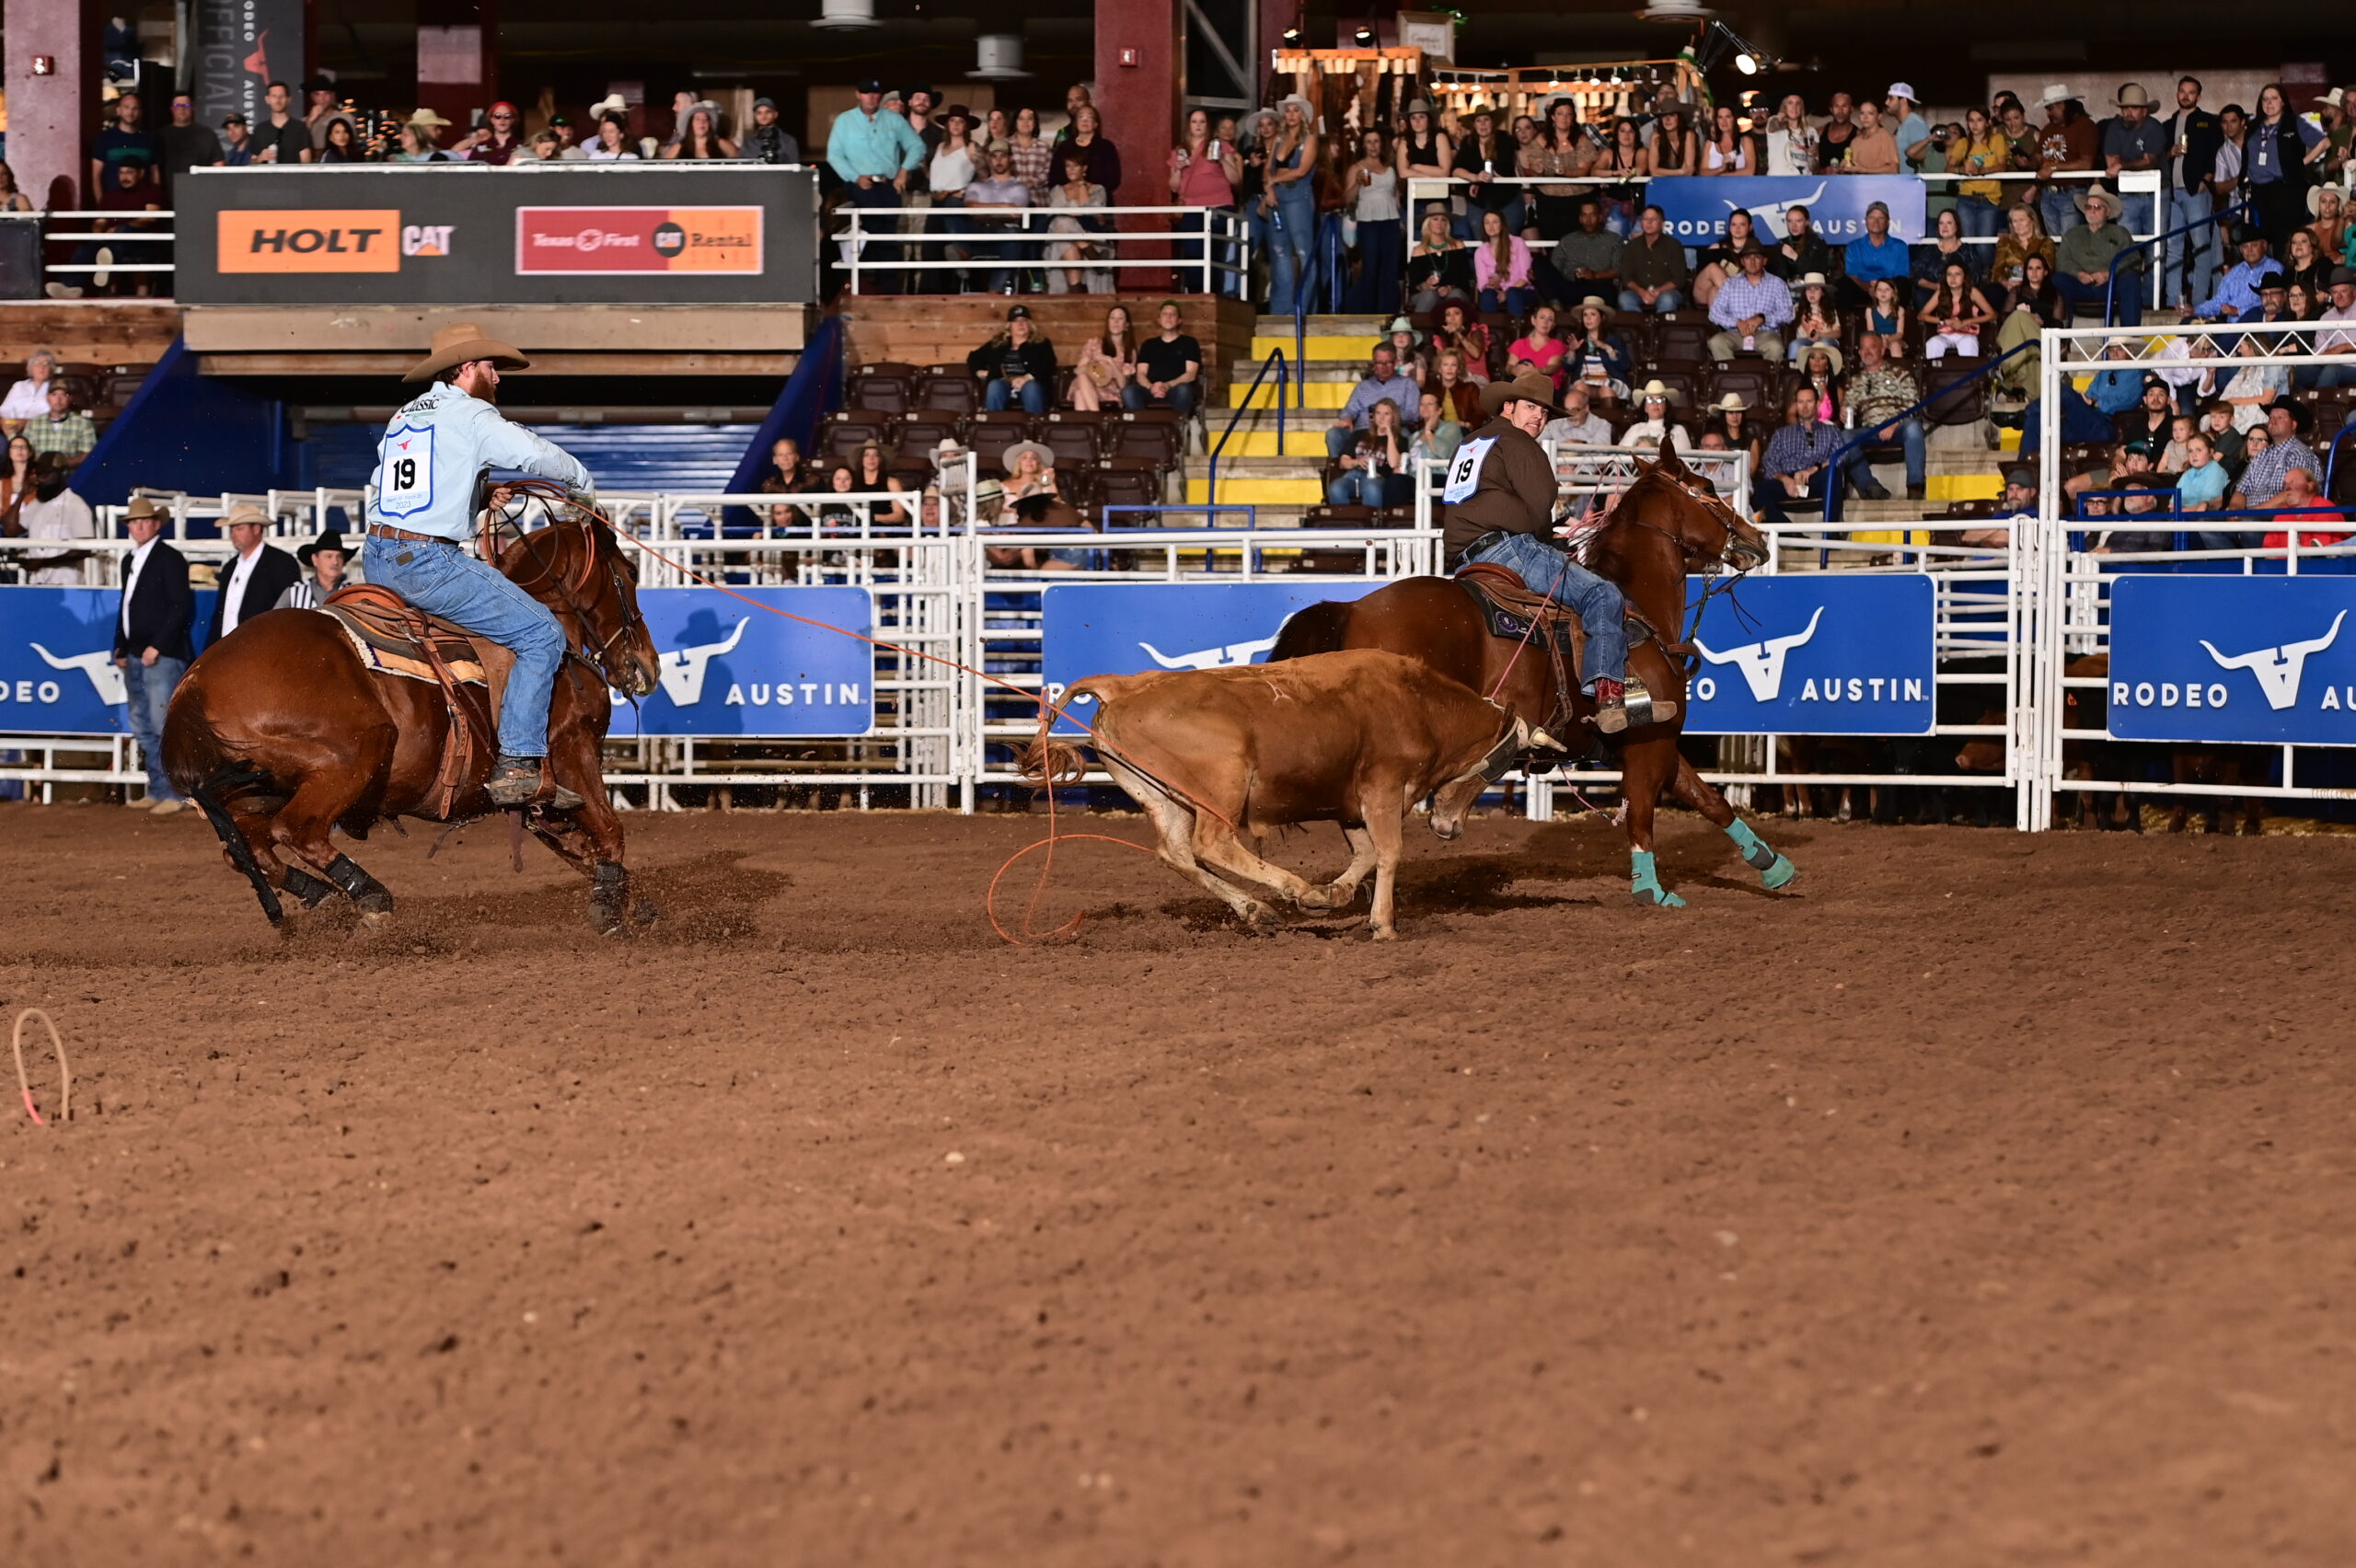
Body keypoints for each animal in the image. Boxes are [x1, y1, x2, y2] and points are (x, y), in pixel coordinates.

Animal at [165, 511, 664, 928]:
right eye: (630, 573)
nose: (647, 665)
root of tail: (194, 684)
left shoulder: (542, 806)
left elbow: (584, 849)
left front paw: (633, 904)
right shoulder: (573, 749)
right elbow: (610, 831)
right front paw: (611, 910)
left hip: (254, 789)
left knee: (246, 850)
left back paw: (323, 898)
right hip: (352, 754)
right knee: (295, 831)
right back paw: (371, 898)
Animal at [1281, 443, 1790, 904]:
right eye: (1708, 490)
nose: (1757, 539)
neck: (1636, 602)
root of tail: (1352, 609)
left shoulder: (1650, 742)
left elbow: (1711, 800)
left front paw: (1774, 865)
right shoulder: (1649, 741)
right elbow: (1643, 814)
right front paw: (1652, 889)